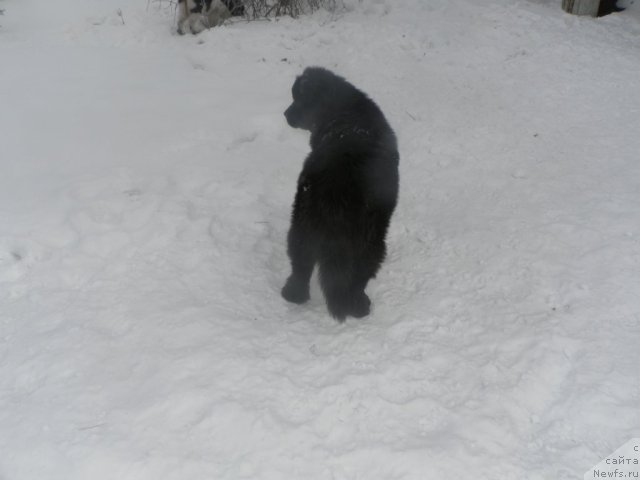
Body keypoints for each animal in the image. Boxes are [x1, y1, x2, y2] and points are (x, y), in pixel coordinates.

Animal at [282, 66, 398, 322]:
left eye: (298, 98)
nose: (285, 114)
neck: (344, 109)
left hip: (303, 219)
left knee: (300, 261)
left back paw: (293, 294)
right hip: (371, 237)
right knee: (358, 274)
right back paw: (357, 305)